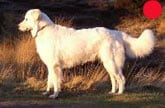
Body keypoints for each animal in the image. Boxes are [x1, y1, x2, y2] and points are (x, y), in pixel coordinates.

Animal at [18, 9, 155, 98]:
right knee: (113, 79)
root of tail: (117, 33)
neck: (43, 30)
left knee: (121, 78)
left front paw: (55, 95)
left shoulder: (54, 66)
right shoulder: (50, 66)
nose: (18, 26)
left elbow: (56, 82)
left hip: (111, 63)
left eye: (26, 19)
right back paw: (112, 92)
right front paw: (47, 92)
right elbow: (49, 80)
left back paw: (120, 93)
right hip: (108, 63)